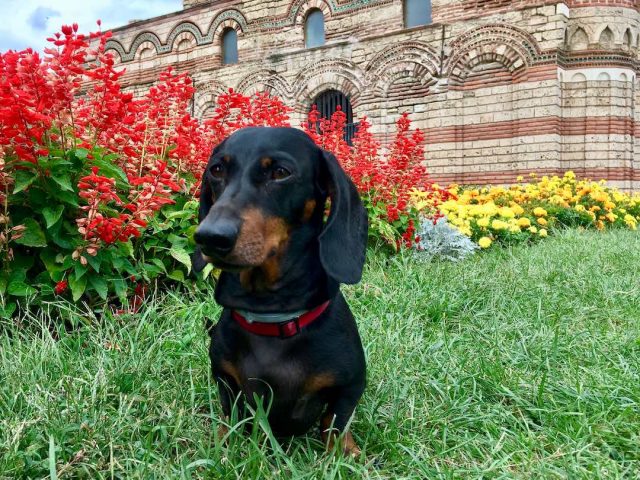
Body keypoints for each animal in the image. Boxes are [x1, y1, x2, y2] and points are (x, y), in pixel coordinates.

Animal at [192, 125, 368, 456]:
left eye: (280, 172)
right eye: (216, 170)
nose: (210, 237)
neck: (271, 315)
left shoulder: (350, 386)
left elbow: (335, 423)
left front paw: (346, 453)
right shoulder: (225, 379)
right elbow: (231, 415)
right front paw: (224, 444)